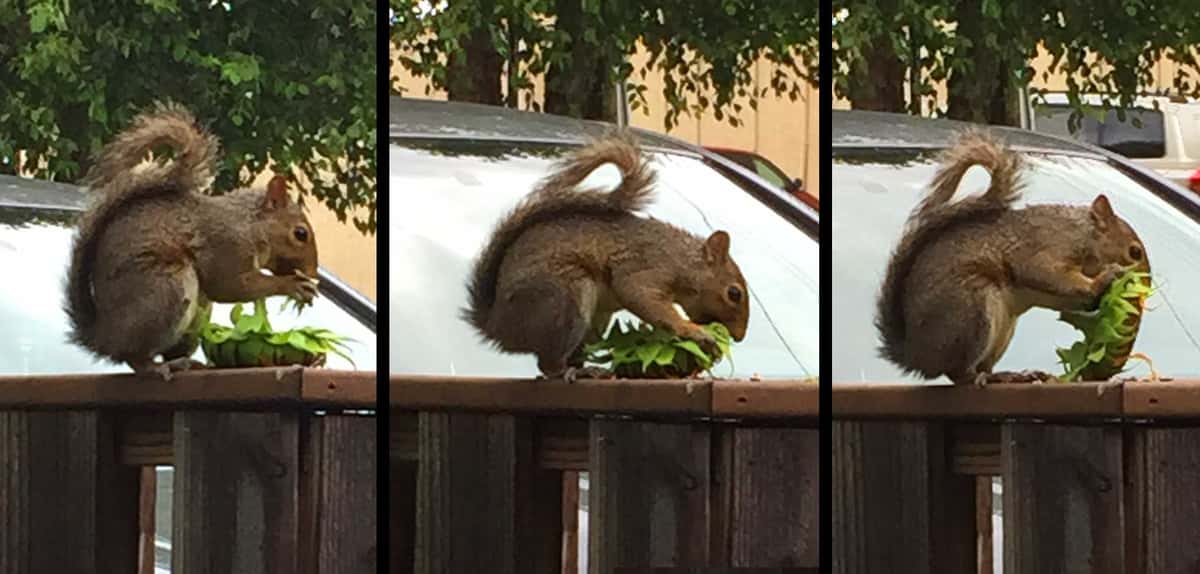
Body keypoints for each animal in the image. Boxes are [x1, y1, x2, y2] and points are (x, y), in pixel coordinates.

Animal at [64, 103, 320, 380]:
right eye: (300, 234)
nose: (313, 273)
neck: (250, 226)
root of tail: (104, 336)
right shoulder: (226, 246)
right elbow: (230, 286)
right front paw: (292, 285)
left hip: (197, 313)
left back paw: (192, 364)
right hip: (166, 291)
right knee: (133, 356)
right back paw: (156, 367)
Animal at [462, 131, 750, 383]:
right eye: (734, 293)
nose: (738, 337)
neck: (680, 259)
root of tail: (496, 325)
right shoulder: (645, 268)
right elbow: (640, 296)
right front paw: (693, 332)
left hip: (593, 320)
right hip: (565, 299)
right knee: (549, 363)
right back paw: (576, 372)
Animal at [875, 130, 1149, 386]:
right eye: (1134, 252)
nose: (1145, 286)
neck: (1081, 236)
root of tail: (916, 355)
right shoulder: (1044, 248)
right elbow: (1047, 274)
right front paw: (1108, 276)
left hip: (1003, 329)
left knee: (982, 367)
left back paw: (1009, 376)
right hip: (971, 310)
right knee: (959, 373)